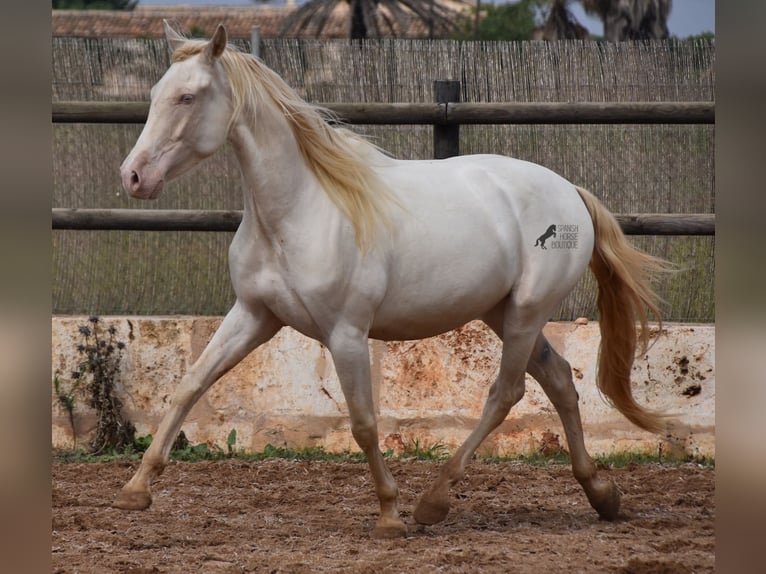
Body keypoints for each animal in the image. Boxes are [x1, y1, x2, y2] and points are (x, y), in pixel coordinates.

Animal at [115, 22, 672, 544]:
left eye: (188, 97)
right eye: (156, 93)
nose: (134, 177)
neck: (298, 210)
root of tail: (570, 192)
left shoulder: (345, 333)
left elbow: (363, 423)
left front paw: (389, 515)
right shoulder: (254, 315)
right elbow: (189, 386)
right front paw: (136, 490)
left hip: (526, 313)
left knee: (506, 392)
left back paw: (434, 502)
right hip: (504, 312)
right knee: (557, 380)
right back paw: (601, 494)